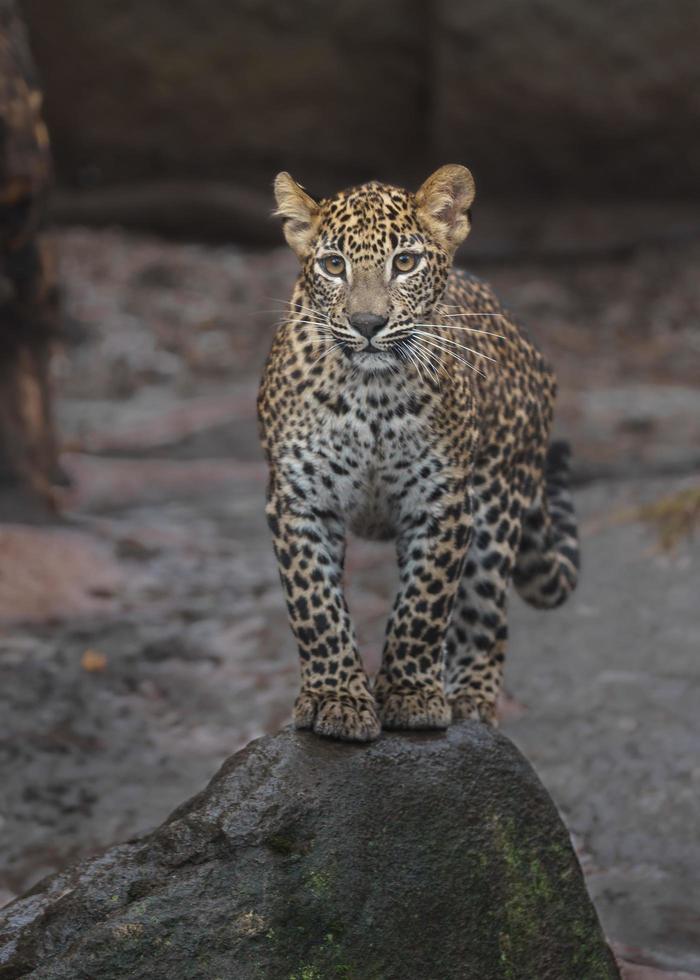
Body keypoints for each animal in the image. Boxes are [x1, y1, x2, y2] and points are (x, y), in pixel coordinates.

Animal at [258, 163, 580, 744]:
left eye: (404, 262)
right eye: (333, 265)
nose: (366, 324)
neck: (370, 396)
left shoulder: (442, 502)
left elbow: (423, 606)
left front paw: (409, 696)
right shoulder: (300, 500)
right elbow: (317, 606)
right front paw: (338, 699)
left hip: (496, 512)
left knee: (487, 620)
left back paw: (470, 701)